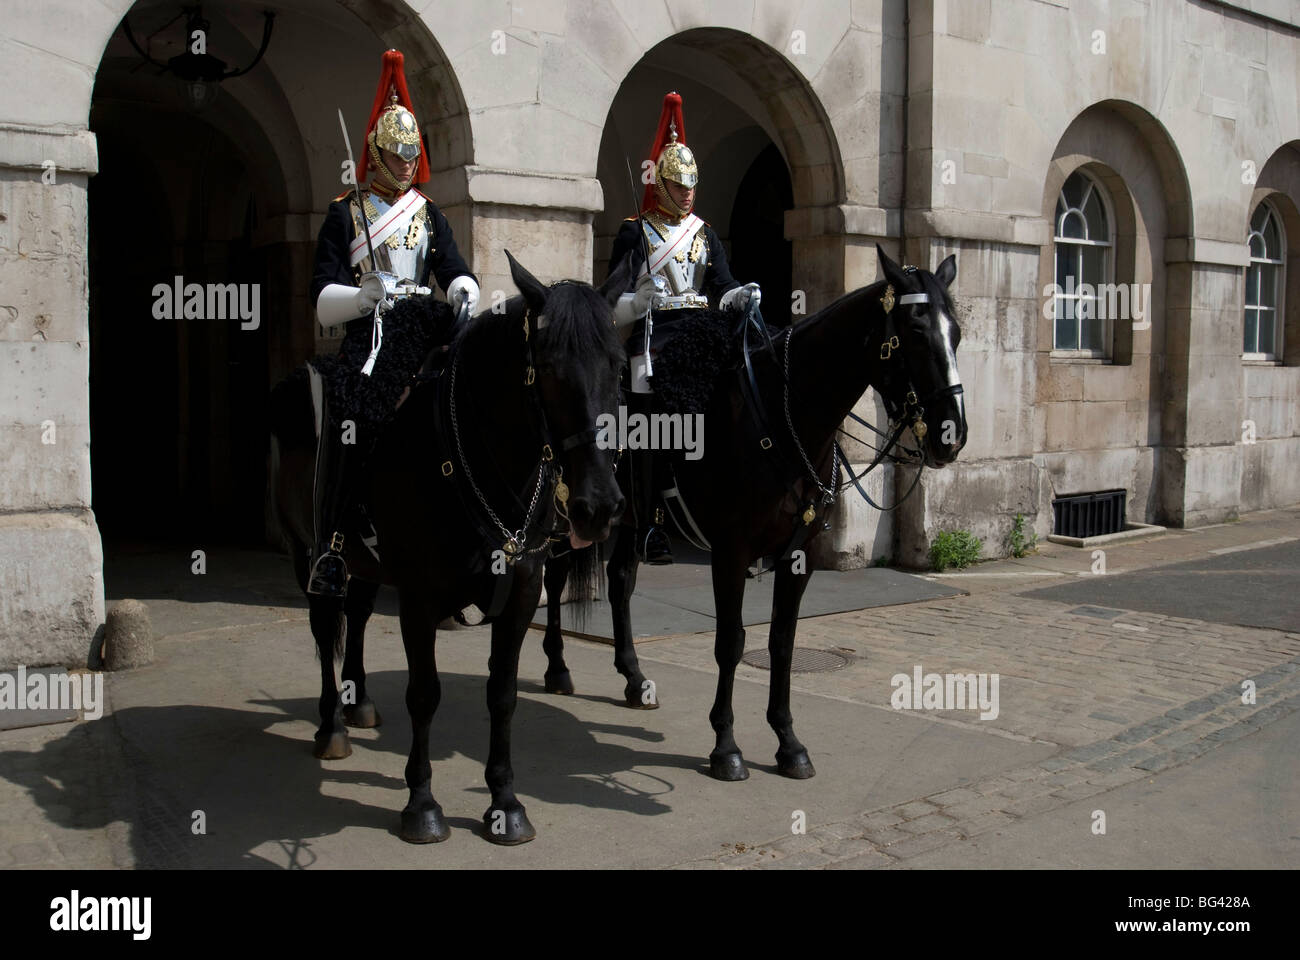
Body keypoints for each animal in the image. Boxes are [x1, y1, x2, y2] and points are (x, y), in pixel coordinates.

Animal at [267, 251, 624, 842]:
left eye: (618, 365)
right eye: (549, 367)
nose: (597, 507)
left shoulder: (519, 594)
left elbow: (502, 694)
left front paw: (505, 802)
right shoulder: (420, 599)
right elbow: (424, 694)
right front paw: (422, 803)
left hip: (367, 563)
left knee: (357, 615)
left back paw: (359, 701)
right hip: (307, 554)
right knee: (325, 625)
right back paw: (331, 725)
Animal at [535, 244, 967, 780]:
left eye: (958, 334)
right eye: (915, 332)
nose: (952, 435)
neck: (783, 418)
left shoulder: (798, 556)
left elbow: (782, 641)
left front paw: (788, 742)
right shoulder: (730, 552)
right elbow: (731, 641)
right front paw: (726, 746)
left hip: (632, 519)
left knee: (619, 580)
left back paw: (634, 678)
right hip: (570, 512)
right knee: (556, 577)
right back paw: (557, 668)